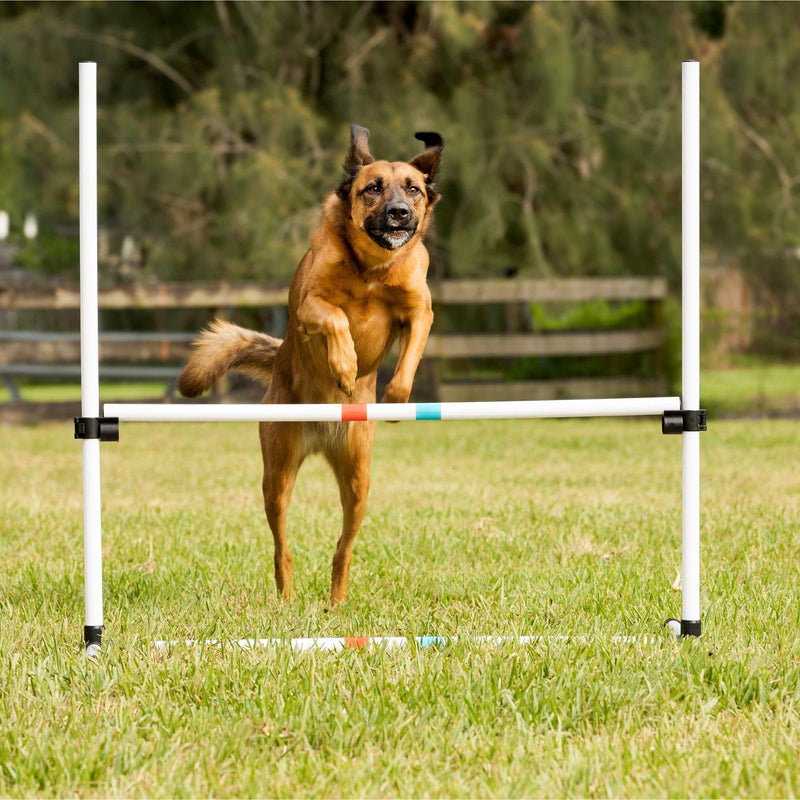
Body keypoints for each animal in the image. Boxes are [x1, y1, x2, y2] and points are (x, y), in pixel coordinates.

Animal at [176, 123, 446, 608]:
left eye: (413, 189)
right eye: (373, 188)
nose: (398, 214)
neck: (371, 267)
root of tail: (322, 435)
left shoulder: (419, 312)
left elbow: (409, 358)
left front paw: (394, 399)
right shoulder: (309, 307)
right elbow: (337, 318)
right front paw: (344, 366)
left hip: (358, 481)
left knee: (344, 546)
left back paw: (336, 601)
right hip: (277, 475)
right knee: (281, 543)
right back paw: (287, 596)